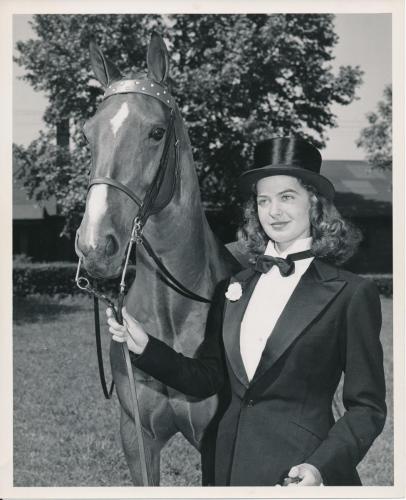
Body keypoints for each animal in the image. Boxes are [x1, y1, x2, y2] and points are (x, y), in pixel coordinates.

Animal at [75, 33, 241, 486]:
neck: (174, 315)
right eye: (88, 135)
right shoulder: (138, 439)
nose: (94, 247)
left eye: (156, 132)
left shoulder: (213, 447)